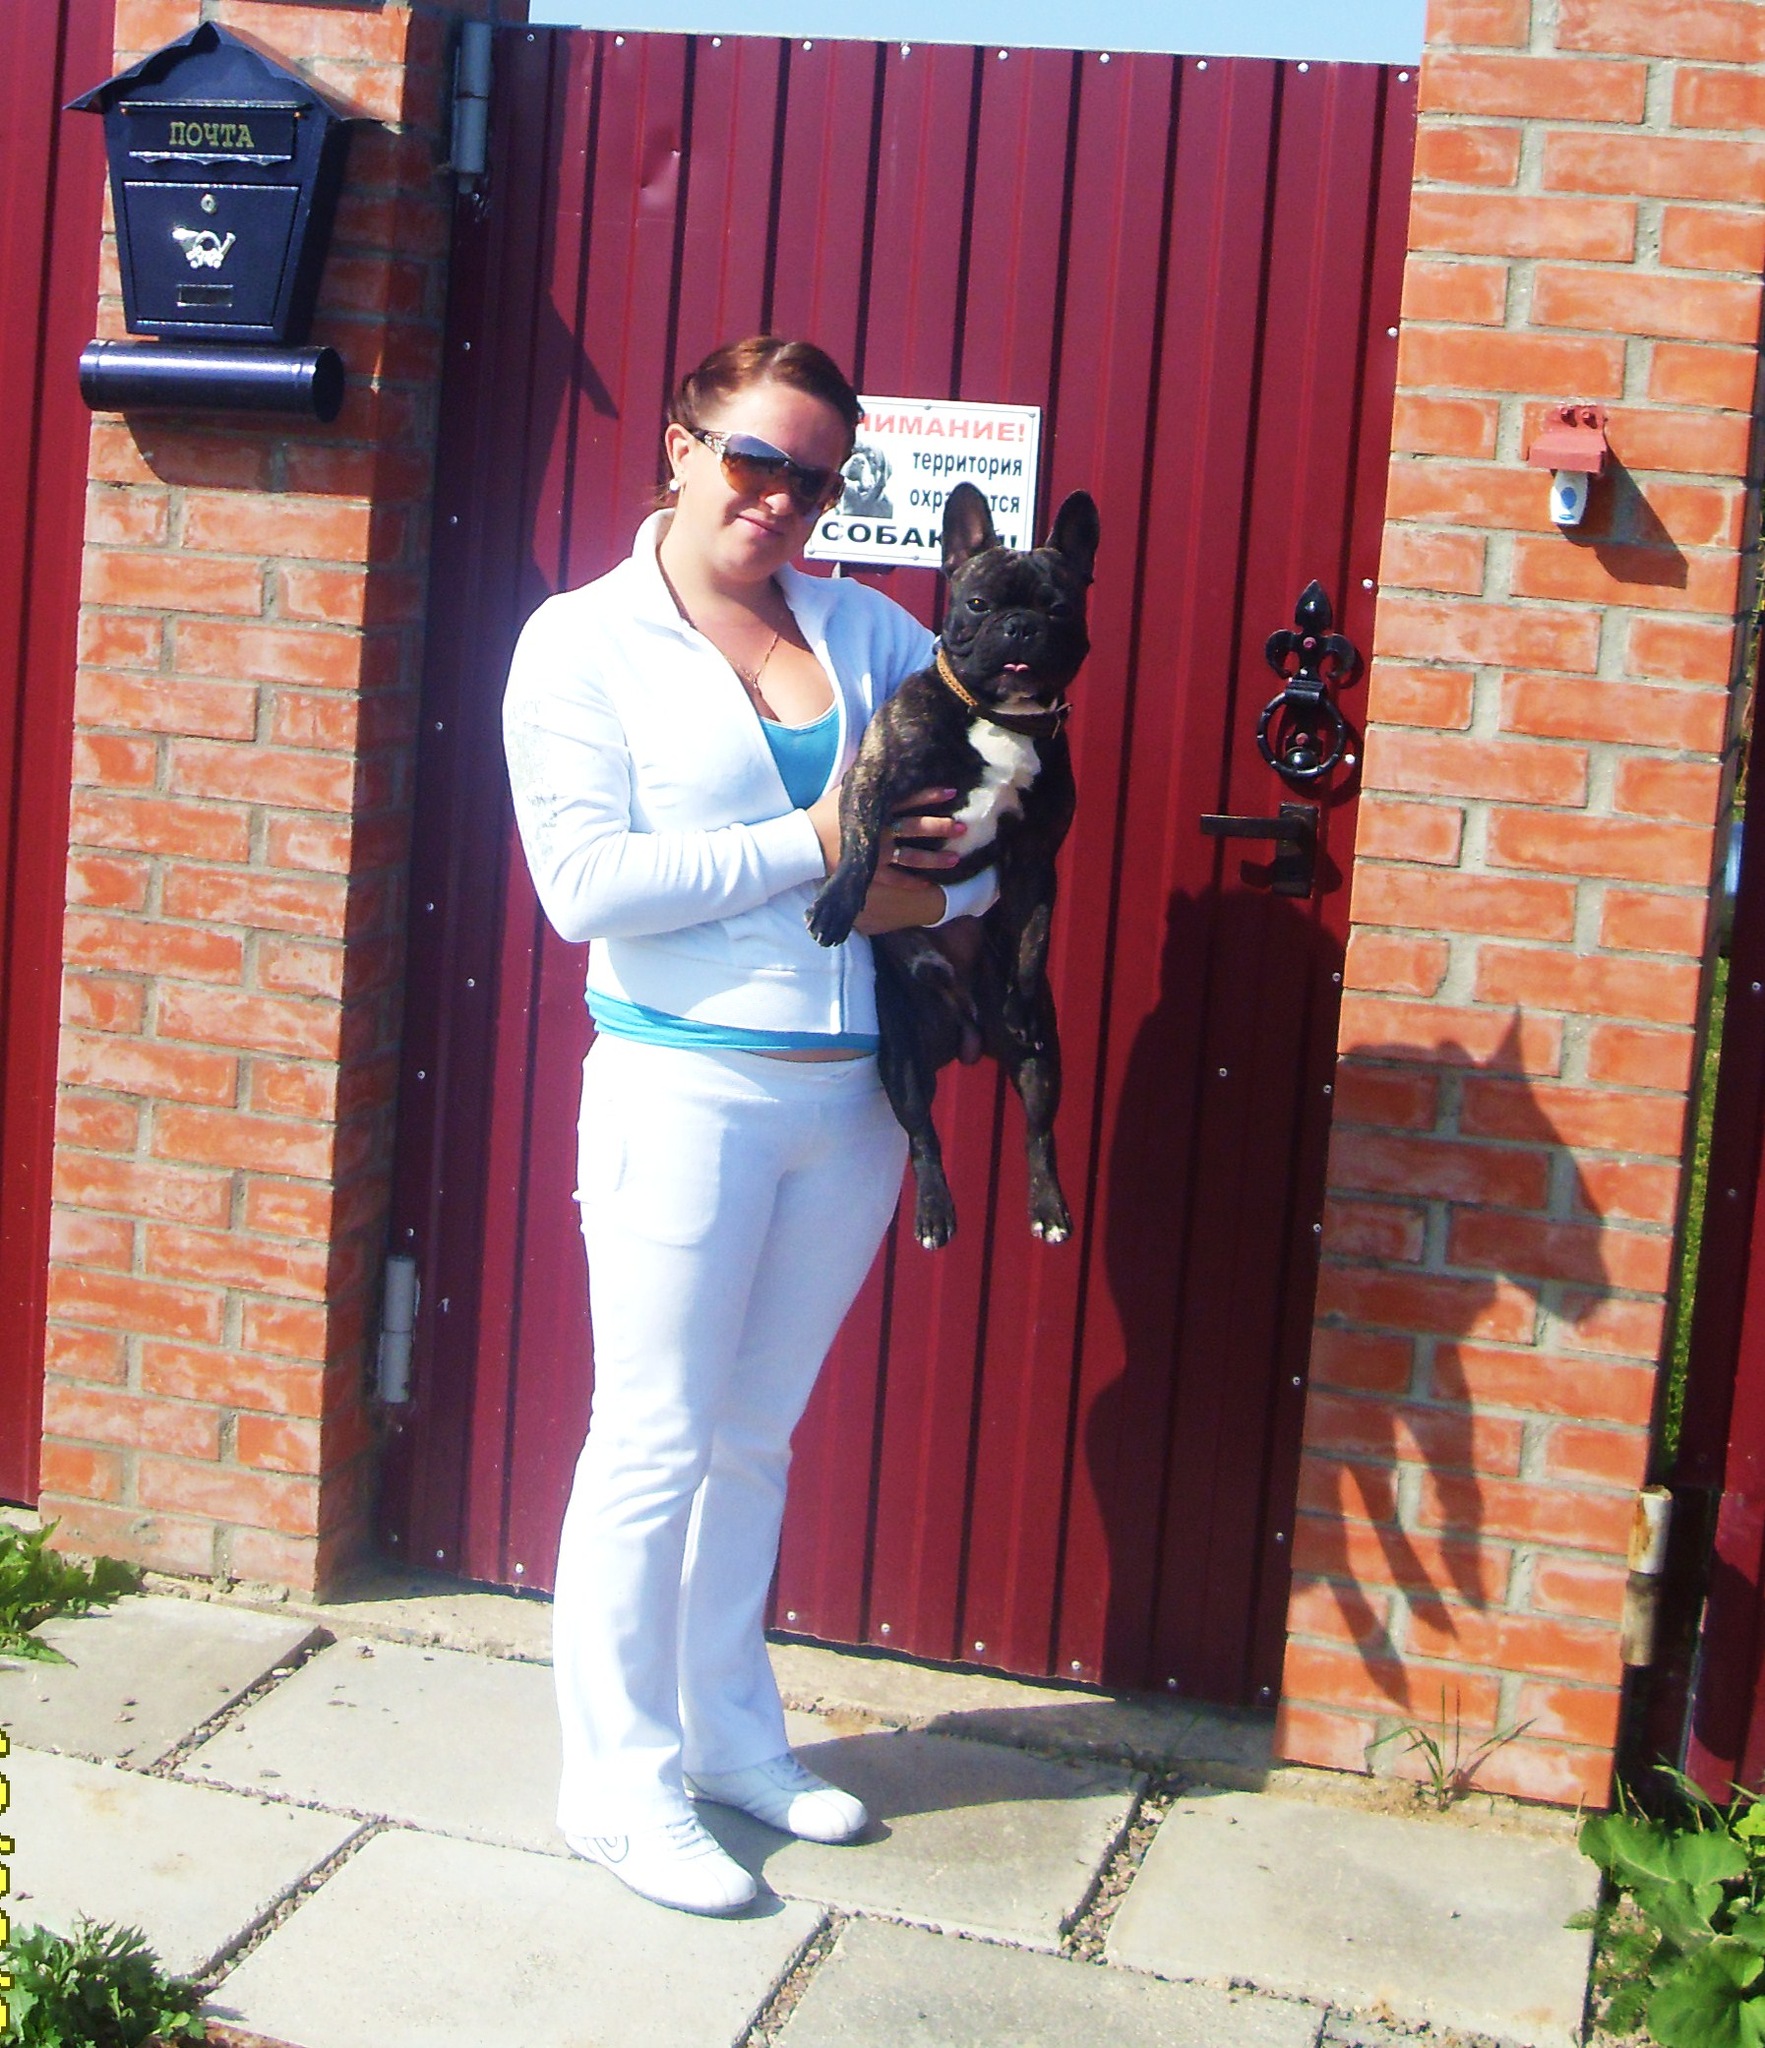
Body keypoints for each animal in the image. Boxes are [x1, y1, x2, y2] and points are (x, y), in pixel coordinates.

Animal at [806, 481, 1100, 1249]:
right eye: (978, 603)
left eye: (1060, 607)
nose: (1021, 627)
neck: (1000, 719)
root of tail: (966, 1035)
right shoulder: (877, 776)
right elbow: (857, 845)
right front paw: (836, 905)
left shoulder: (1036, 856)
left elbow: (1033, 935)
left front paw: (1022, 987)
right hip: (902, 1059)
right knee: (922, 1136)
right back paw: (935, 1211)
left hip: (1041, 1065)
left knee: (1037, 1130)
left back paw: (1047, 1208)